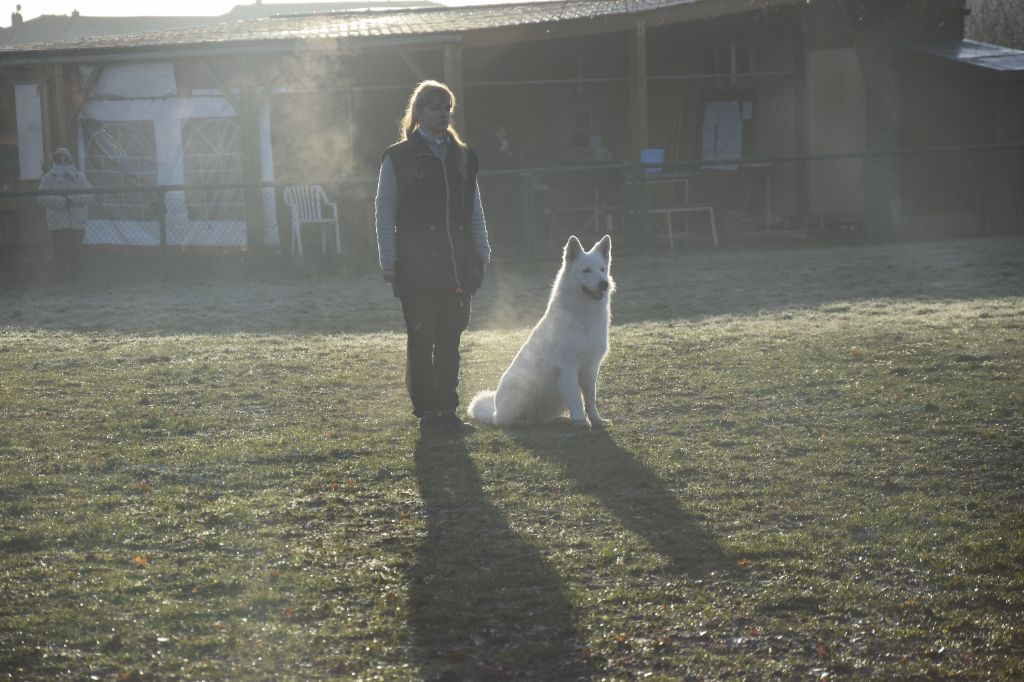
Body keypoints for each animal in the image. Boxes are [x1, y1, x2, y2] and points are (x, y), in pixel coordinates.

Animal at [468, 233, 610, 425]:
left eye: (602, 270)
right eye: (586, 270)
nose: (605, 284)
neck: (583, 314)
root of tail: (495, 411)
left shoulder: (591, 368)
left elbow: (590, 399)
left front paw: (596, 420)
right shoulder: (567, 367)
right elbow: (576, 398)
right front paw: (581, 421)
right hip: (522, 385)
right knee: (505, 420)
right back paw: (522, 422)